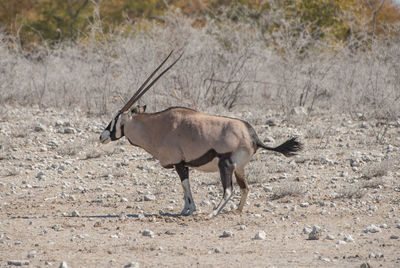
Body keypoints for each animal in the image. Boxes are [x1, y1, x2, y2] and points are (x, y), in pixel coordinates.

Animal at [100, 50, 300, 218]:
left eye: (116, 117)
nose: (102, 136)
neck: (158, 126)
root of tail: (253, 137)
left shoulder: (180, 164)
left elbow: (185, 187)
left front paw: (189, 210)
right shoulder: (184, 165)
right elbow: (185, 189)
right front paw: (185, 209)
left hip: (226, 165)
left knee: (229, 190)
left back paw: (213, 213)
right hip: (239, 168)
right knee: (245, 187)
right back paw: (237, 210)